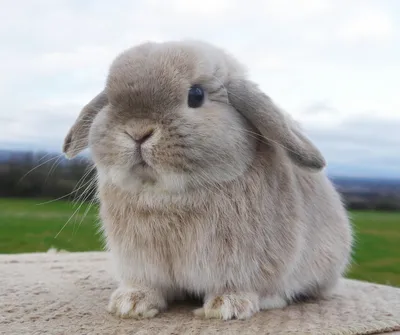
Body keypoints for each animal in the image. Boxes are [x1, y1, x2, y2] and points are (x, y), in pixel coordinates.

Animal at [62, 39, 354, 320]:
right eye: (110, 100)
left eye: (196, 95)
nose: (138, 132)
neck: (167, 194)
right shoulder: (141, 262)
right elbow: (148, 285)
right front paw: (132, 304)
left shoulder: (243, 262)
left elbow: (239, 284)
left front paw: (227, 306)